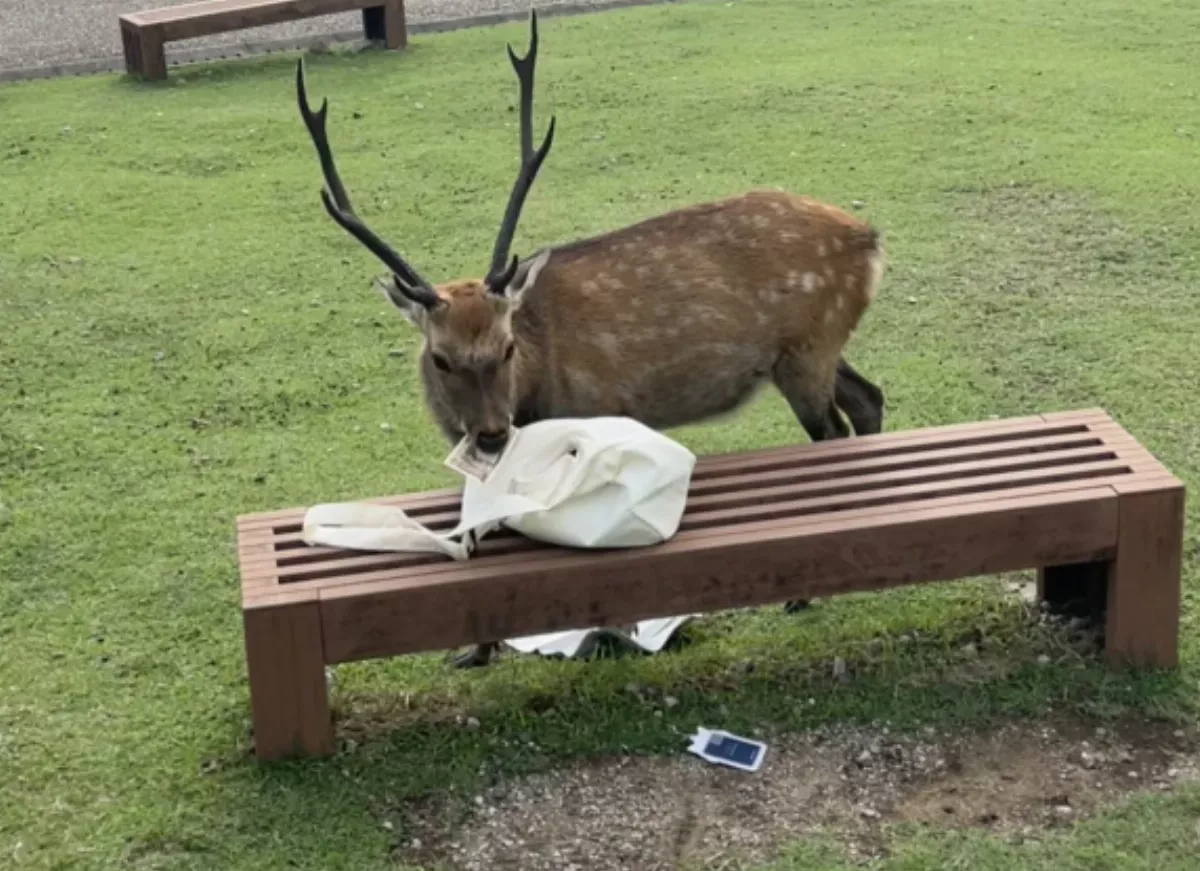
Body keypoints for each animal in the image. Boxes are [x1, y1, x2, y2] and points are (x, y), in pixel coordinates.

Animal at [295, 11, 887, 668]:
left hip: (805, 350)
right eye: (442, 359)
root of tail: (869, 239)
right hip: (817, 346)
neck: (537, 385)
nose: (492, 433)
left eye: (506, 347)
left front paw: (616, 633)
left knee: (832, 429)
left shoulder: (601, 409)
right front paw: (475, 652)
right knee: (869, 398)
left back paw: (803, 595)